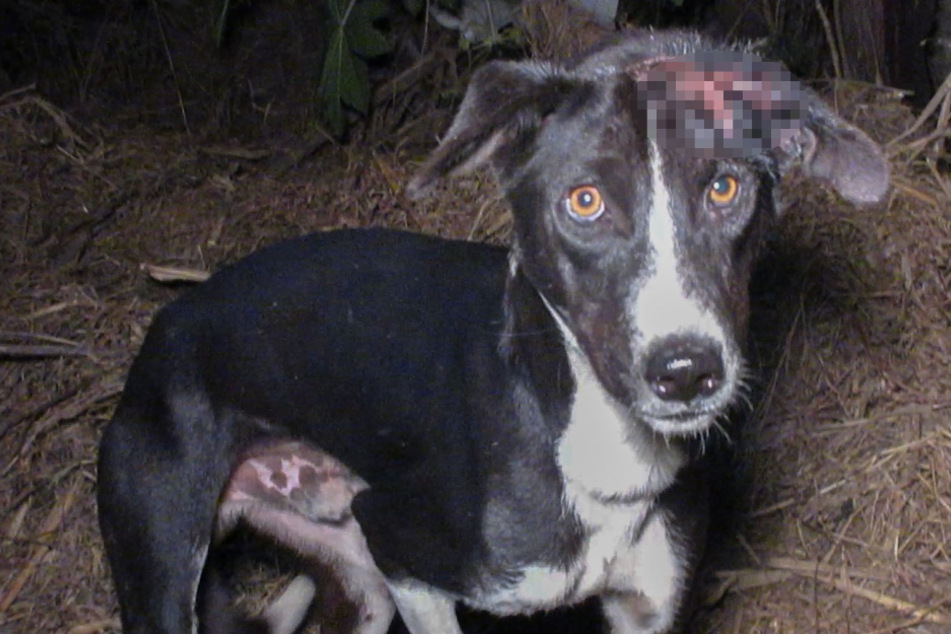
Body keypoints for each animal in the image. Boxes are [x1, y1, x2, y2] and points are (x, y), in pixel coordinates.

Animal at [98, 28, 892, 632]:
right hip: (169, 563)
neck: (594, 448)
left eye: (725, 187)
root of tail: (165, 329)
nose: (687, 370)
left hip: (356, 581)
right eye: (584, 200)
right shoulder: (402, 548)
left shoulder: (647, 606)